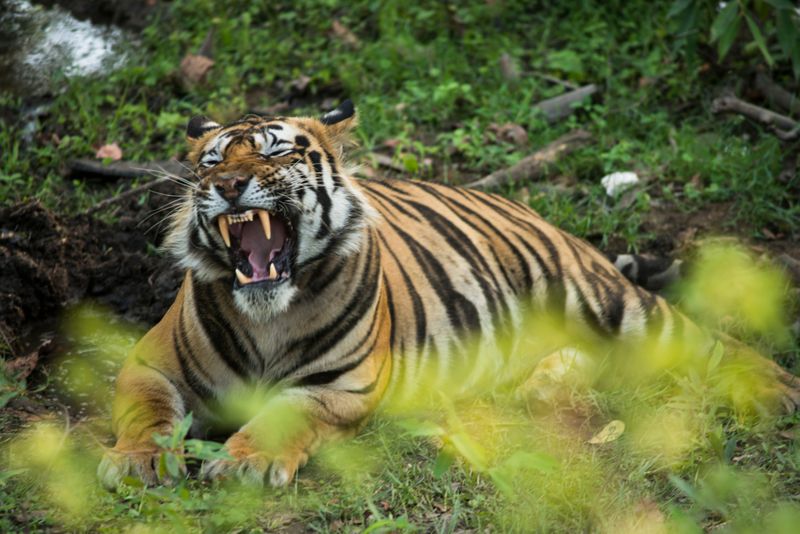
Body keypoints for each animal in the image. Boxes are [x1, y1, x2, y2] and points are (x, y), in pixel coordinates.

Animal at [98, 99, 800, 490]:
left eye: (275, 153)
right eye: (212, 161)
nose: (229, 186)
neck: (266, 314)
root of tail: (534, 211)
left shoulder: (342, 385)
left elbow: (282, 416)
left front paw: (243, 464)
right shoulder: (151, 363)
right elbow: (148, 414)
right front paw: (133, 462)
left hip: (612, 302)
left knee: (707, 340)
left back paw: (777, 393)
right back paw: (542, 385)